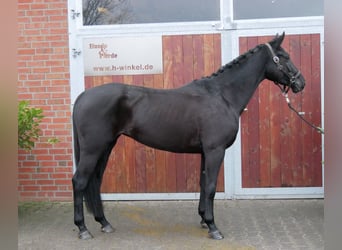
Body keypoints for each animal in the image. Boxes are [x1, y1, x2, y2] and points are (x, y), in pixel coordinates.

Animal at [71, 32, 304, 239]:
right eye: (284, 56)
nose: (300, 83)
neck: (222, 96)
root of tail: (82, 97)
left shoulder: (205, 152)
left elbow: (202, 183)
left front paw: (203, 219)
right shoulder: (215, 151)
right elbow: (210, 187)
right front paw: (213, 227)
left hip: (106, 146)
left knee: (95, 181)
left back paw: (104, 223)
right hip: (93, 149)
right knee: (80, 181)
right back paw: (83, 229)